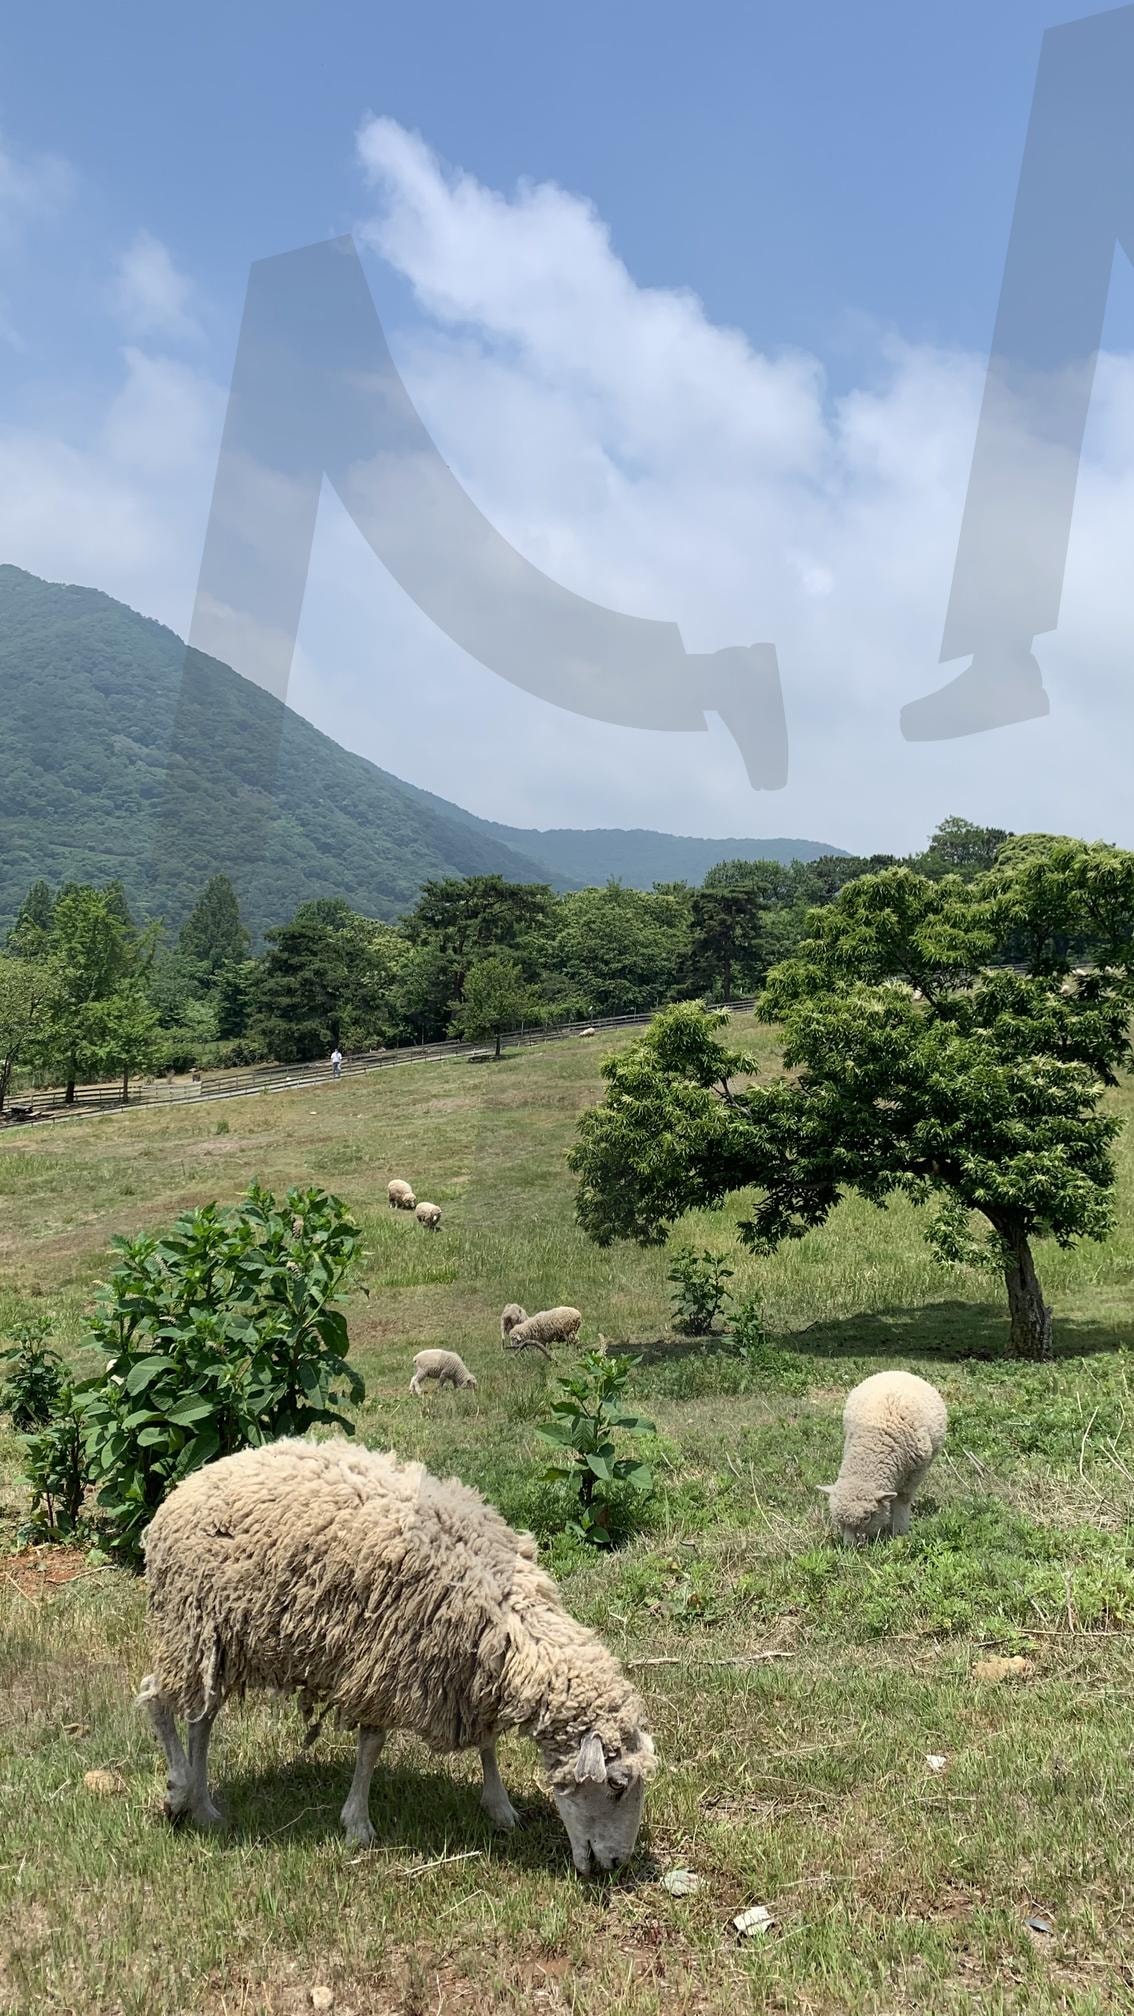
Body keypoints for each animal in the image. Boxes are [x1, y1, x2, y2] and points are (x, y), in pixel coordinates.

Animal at [137, 1438, 655, 1875]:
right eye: (615, 1784)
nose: (618, 1863)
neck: (505, 1608)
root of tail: (183, 1489)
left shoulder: (471, 1668)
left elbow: (487, 1742)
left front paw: (500, 1806)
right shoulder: (384, 1659)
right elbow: (372, 1743)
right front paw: (357, 1824)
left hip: (221, 1643)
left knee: (201, 1717)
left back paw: (204, 1807)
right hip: (190, 1623)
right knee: (157, 1699)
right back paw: (178, 1790)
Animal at [817, 1370, 947, 1545]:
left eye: (866, 1517)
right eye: (837, 1520)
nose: (848, 1546)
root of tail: (897, 1371)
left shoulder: (913, 1475)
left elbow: (903, 1500)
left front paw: (899, 1531)